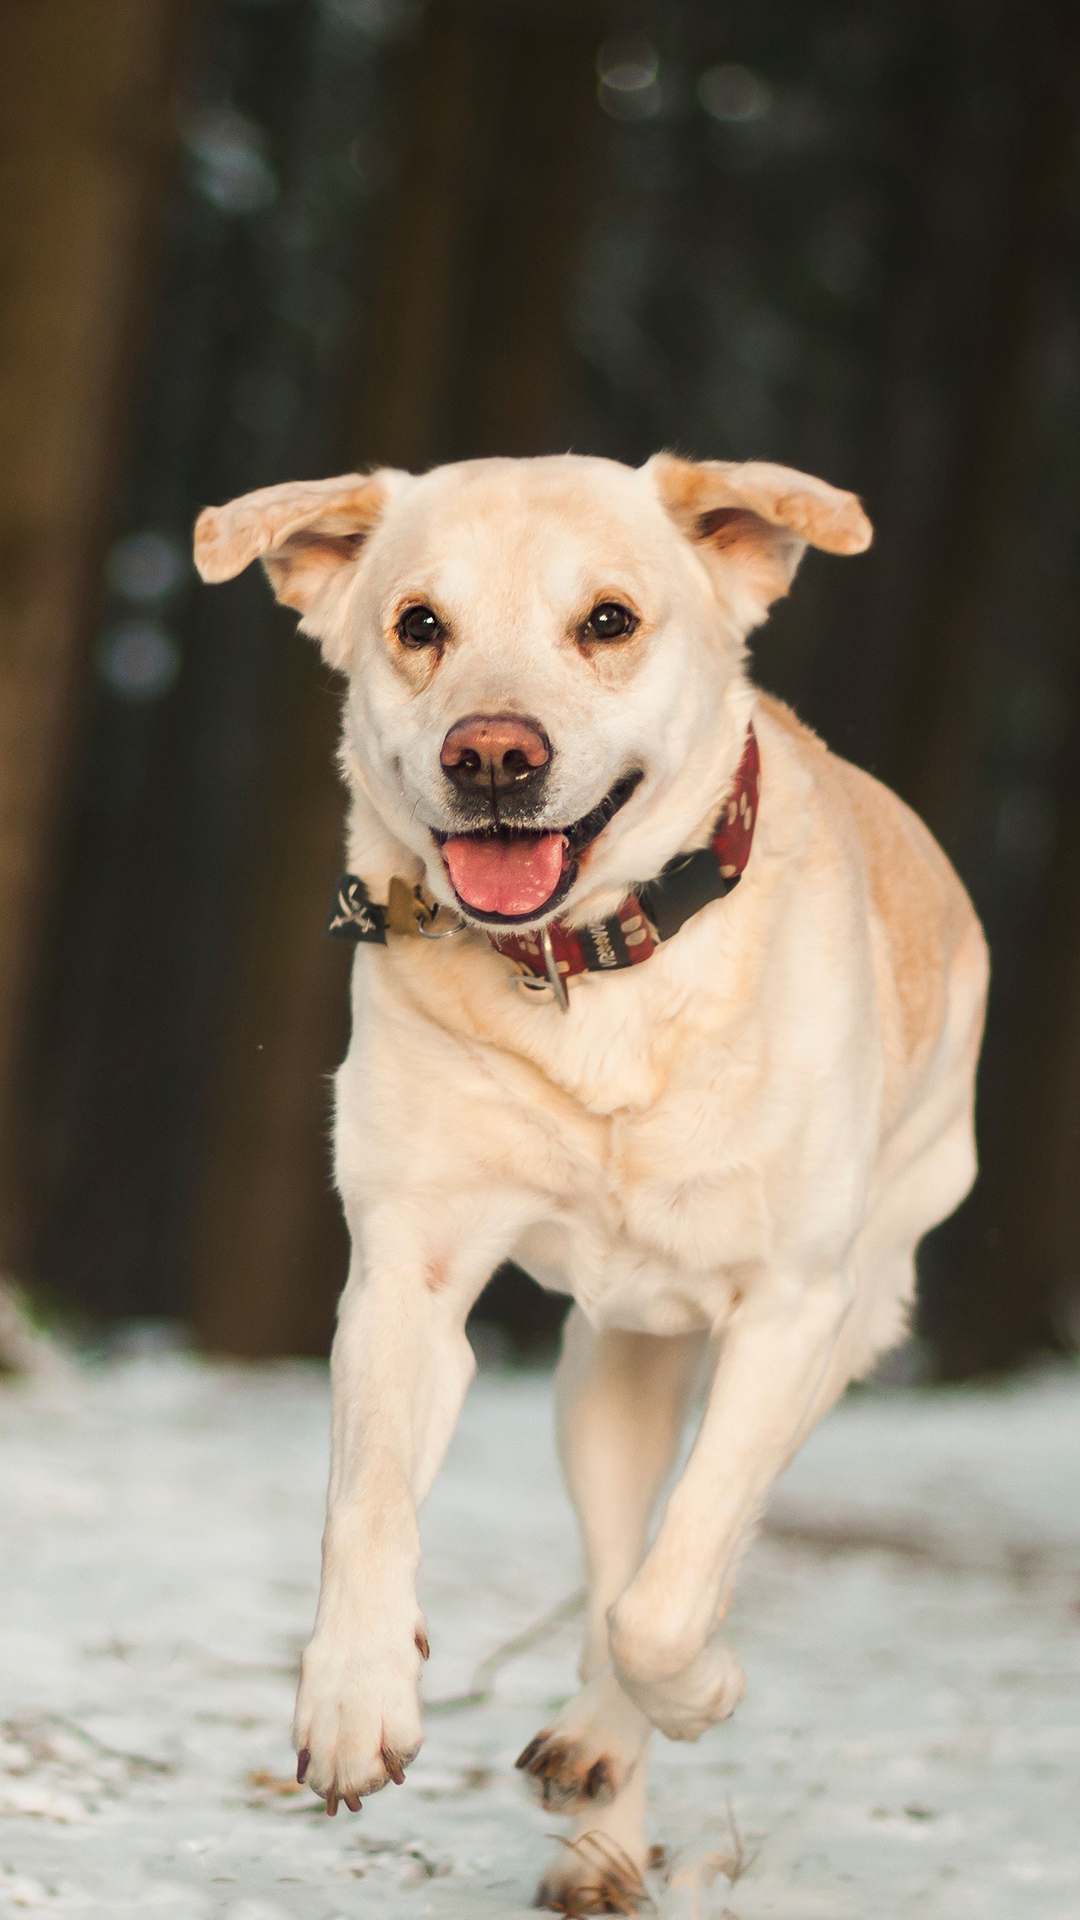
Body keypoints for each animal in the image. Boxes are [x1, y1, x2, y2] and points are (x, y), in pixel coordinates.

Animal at [193, 456, 983, 1912]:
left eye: (607, 621)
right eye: (420, 625)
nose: (493, 756)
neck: (591, 971)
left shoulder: (792, 1307)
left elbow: (674, 1597)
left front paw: (702, 1687)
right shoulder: (406, 1274)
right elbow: (367, 1505)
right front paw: (352, 1696)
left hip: (853, 1306)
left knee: (673, 1562)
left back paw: (612, 1743)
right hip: (605, 1374)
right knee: (618, 1550)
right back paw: (602, 1812)